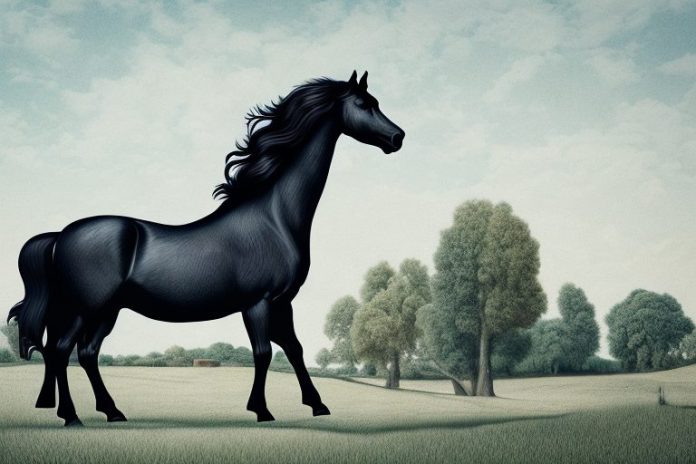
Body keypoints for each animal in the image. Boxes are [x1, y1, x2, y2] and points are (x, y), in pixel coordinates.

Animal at [8, 71, 405, 426]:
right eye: (364, 104)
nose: (397, 137)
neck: (274, 217)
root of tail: (60, 235)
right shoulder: (258, 303)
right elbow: (263, 353)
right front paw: (261, 410)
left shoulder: (282, 303)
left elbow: (293, 349)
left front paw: (317, 405)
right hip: (85, 308)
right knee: (62, 352)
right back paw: (72, 416)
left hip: (106, 311)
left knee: (86, 354)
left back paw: (112, 412)